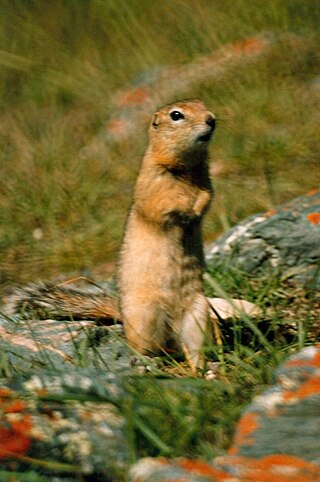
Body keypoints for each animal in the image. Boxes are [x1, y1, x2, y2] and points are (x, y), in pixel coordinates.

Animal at [6, 98, 215, 370]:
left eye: (202, 104)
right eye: (176, 115)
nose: (211, 119)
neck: (186, 167)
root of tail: (122, 315)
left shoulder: (205, 177)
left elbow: (207, 195)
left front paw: (197, 210)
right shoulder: (152, 185)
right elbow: (161, 206)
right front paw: (186, 214)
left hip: (198, 314)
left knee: (191, 347)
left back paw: (203, 368)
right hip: (146, 317)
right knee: (147, 347)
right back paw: (149, 361)